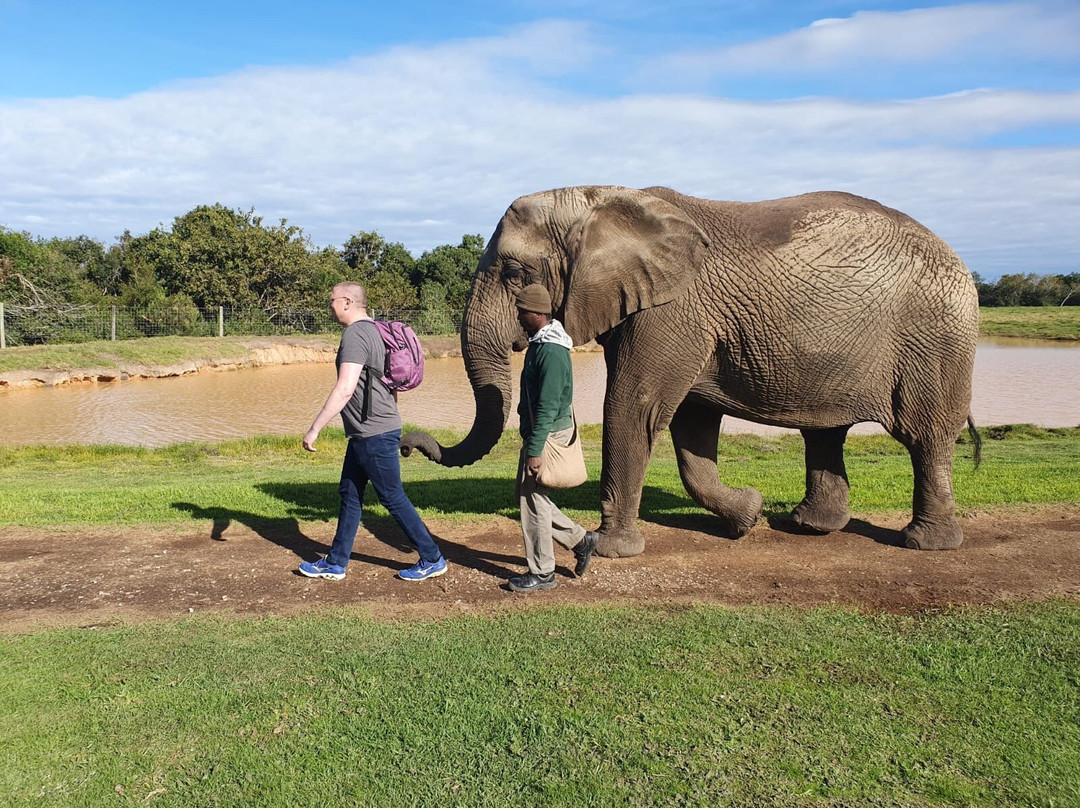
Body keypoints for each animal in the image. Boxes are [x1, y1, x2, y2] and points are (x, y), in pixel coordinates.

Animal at [401, 185, 984, 557]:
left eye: (514, 272)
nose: (407, 443)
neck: (593, 197)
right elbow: (691, 426)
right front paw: (749, 516)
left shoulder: (673, 310)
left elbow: (634, 407)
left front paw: (611, 551)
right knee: (825, 433)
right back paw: (808, 527)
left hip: (936, 337)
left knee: (926, 436)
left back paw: (925, 543)